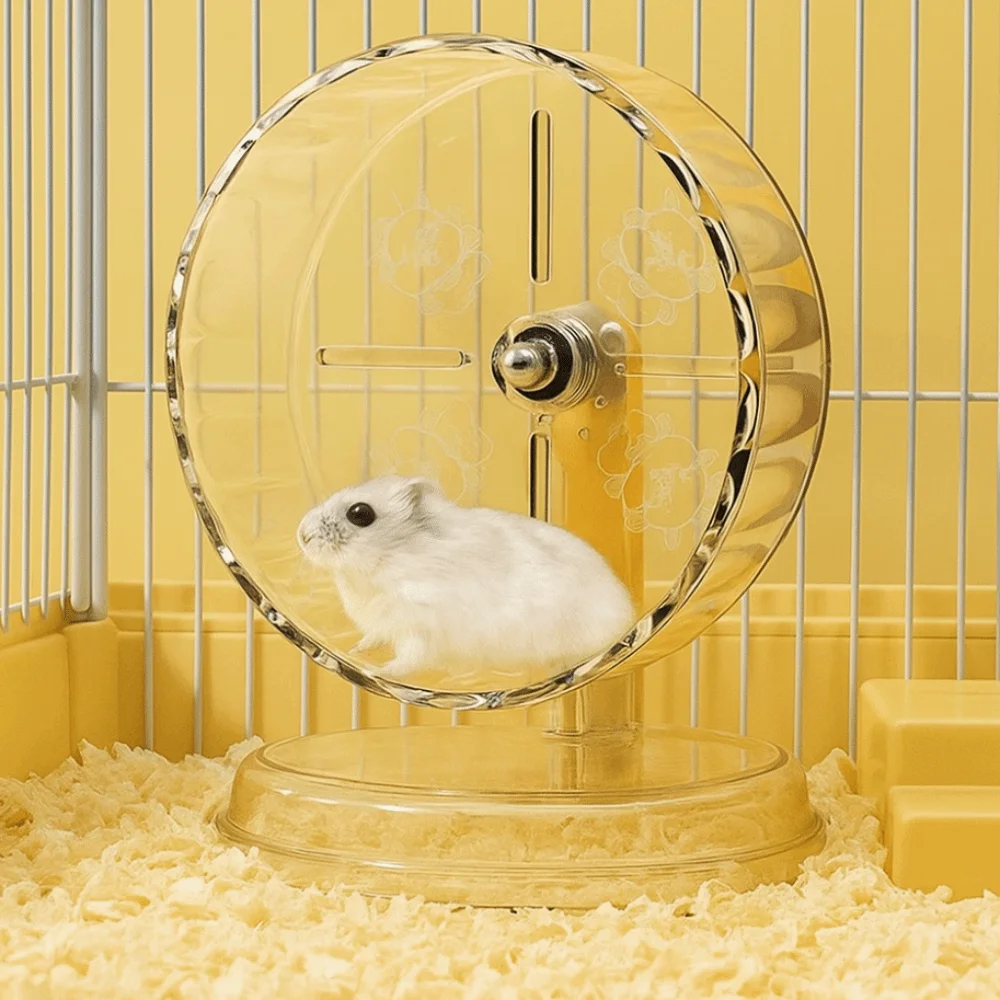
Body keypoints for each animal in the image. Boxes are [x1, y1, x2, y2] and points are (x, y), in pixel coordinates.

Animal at [296, 475, 636, 680]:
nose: (302, 535)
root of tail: (629, 620)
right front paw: (357, 652)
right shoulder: (384, 624)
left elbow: (409, 659)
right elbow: (373, 637)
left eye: (360, 513)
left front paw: (381, 671)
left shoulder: (420, 628)